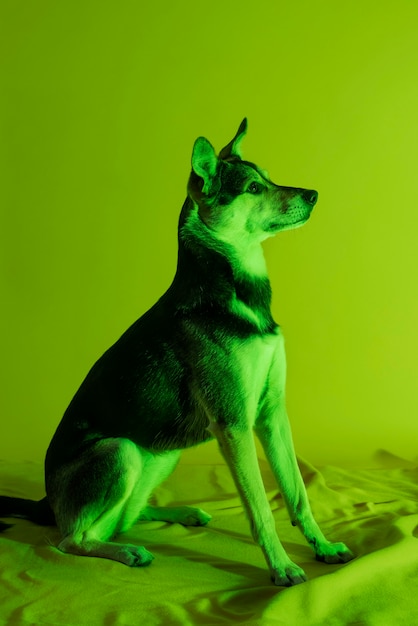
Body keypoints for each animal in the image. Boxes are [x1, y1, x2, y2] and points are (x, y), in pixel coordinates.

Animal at [0, 118, 352, 584]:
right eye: (253, 188)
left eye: (269, 177)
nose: (313, 194)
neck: (233, 287)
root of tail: (47, 503)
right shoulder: (234, 424)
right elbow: (261, 507)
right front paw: (282, 567)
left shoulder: (273, 413)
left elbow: (297, 493)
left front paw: (323, 547)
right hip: (121, 451)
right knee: (70, 539)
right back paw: (127, 551)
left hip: (162, 452)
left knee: (124, 516)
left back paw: (179, 514)